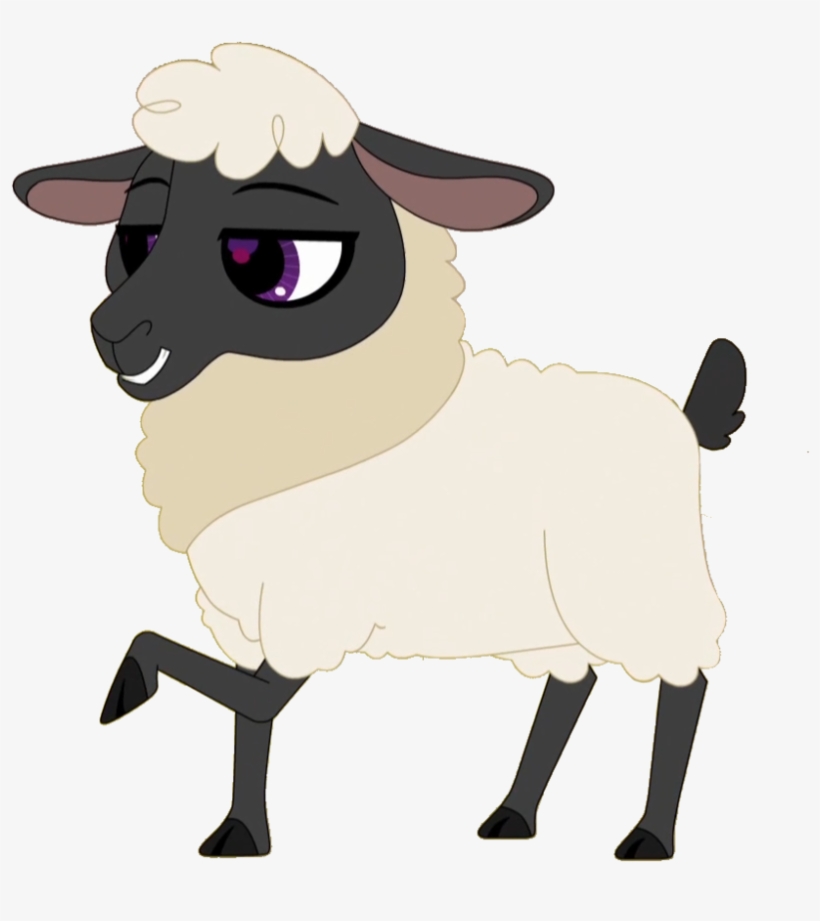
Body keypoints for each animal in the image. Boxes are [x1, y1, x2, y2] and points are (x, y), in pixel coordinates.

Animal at [12, 42, 746, 862]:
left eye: (264, 257)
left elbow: (250, 697)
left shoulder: (310, 610)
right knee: (571, 684)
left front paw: (127, 691)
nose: (112, 331)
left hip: (639, 585)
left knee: (685, 681)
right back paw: (512, 816)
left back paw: (649, 835)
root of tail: (682, 415)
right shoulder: (247, 614)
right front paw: (239, 833)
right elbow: (249, 715)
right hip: (552, 608)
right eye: (137, 238)